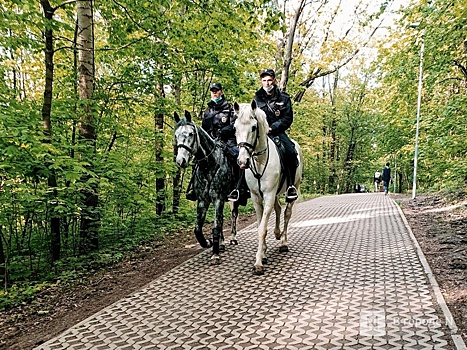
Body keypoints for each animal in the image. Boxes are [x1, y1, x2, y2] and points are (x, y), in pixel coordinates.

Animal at [175, 110, 241, 264]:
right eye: (176, 135)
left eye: (191, 134)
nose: (180, 161)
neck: (209, 165)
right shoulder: (203, 201)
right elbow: (198, 229)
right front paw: (209, 243)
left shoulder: (218, 199)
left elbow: (216, 226)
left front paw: (215, 254)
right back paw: (221, 243)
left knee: (233, 215)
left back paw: (233, 238)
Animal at [233, 100, 304, 274]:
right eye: (235, 128)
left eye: (253, 127)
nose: (242, 161)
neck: (260, 161)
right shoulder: (256, 197)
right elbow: (260, 225)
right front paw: (263, 253)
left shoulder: (269, 194)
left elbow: (262, 228)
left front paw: (258, 262)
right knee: (278, 209)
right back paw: (277, 234)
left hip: (293, 188)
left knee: (286, 213)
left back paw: (283, 242)